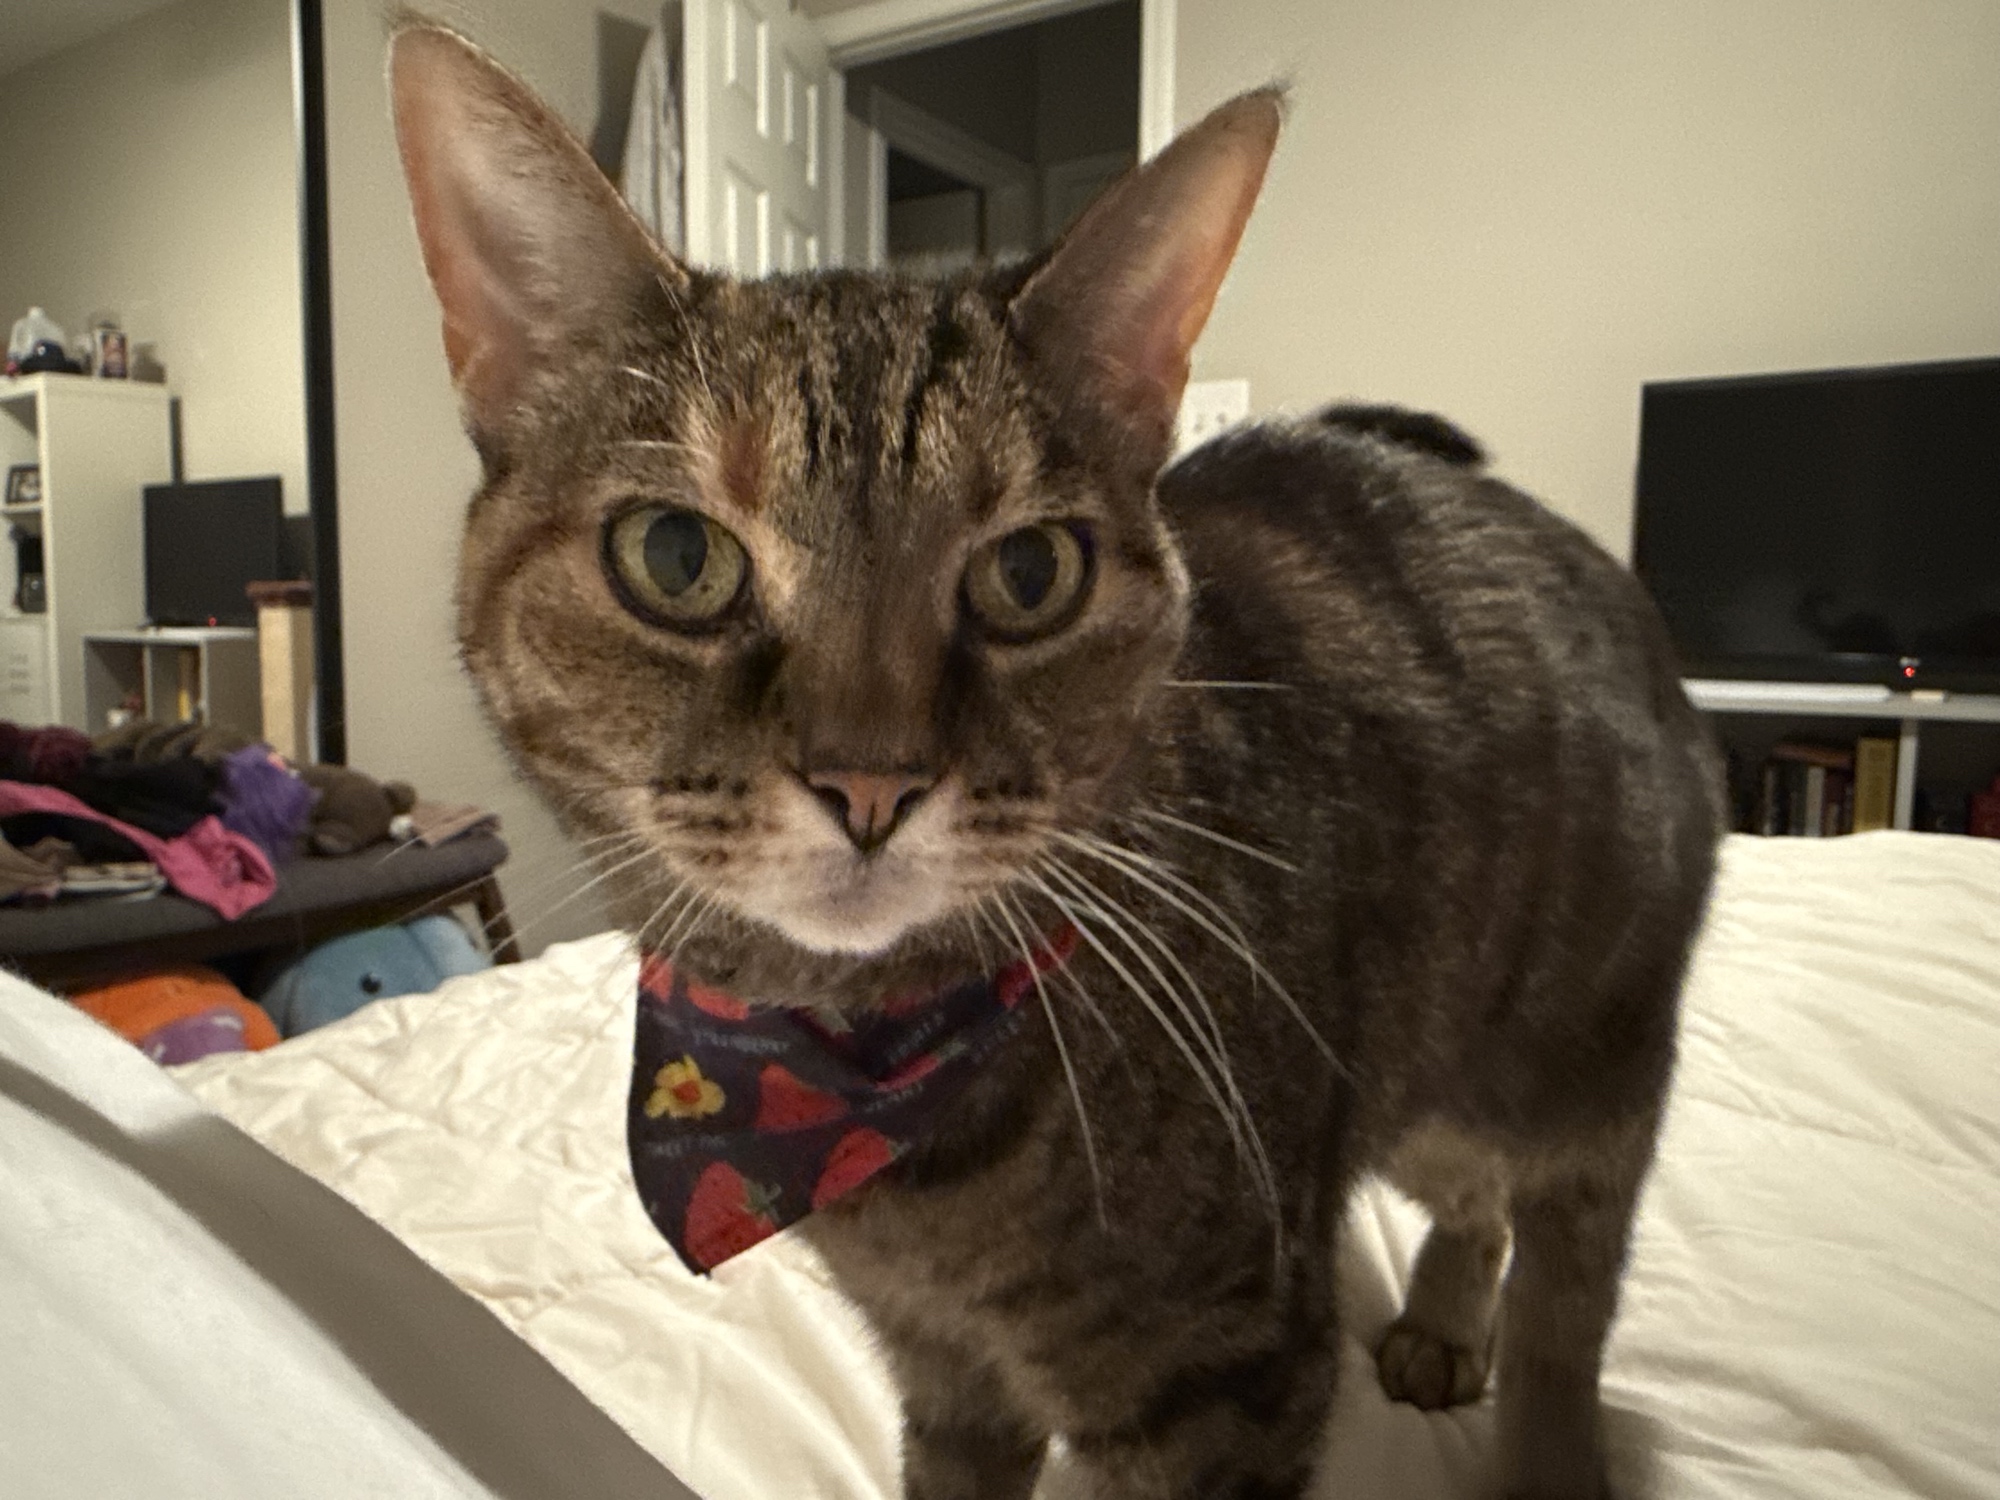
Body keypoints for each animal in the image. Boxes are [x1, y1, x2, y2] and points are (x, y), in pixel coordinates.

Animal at [389, 23, 1726, 1500]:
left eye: (1030, 574)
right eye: (677, 557)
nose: (871, 781)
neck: (862, 1070)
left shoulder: (1227, 1374)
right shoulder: (943, 1364)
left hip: (1577, 1083)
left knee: (1562, 1309)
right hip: (1414, 1086)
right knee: (1472, 1204)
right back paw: (1439, 1320)